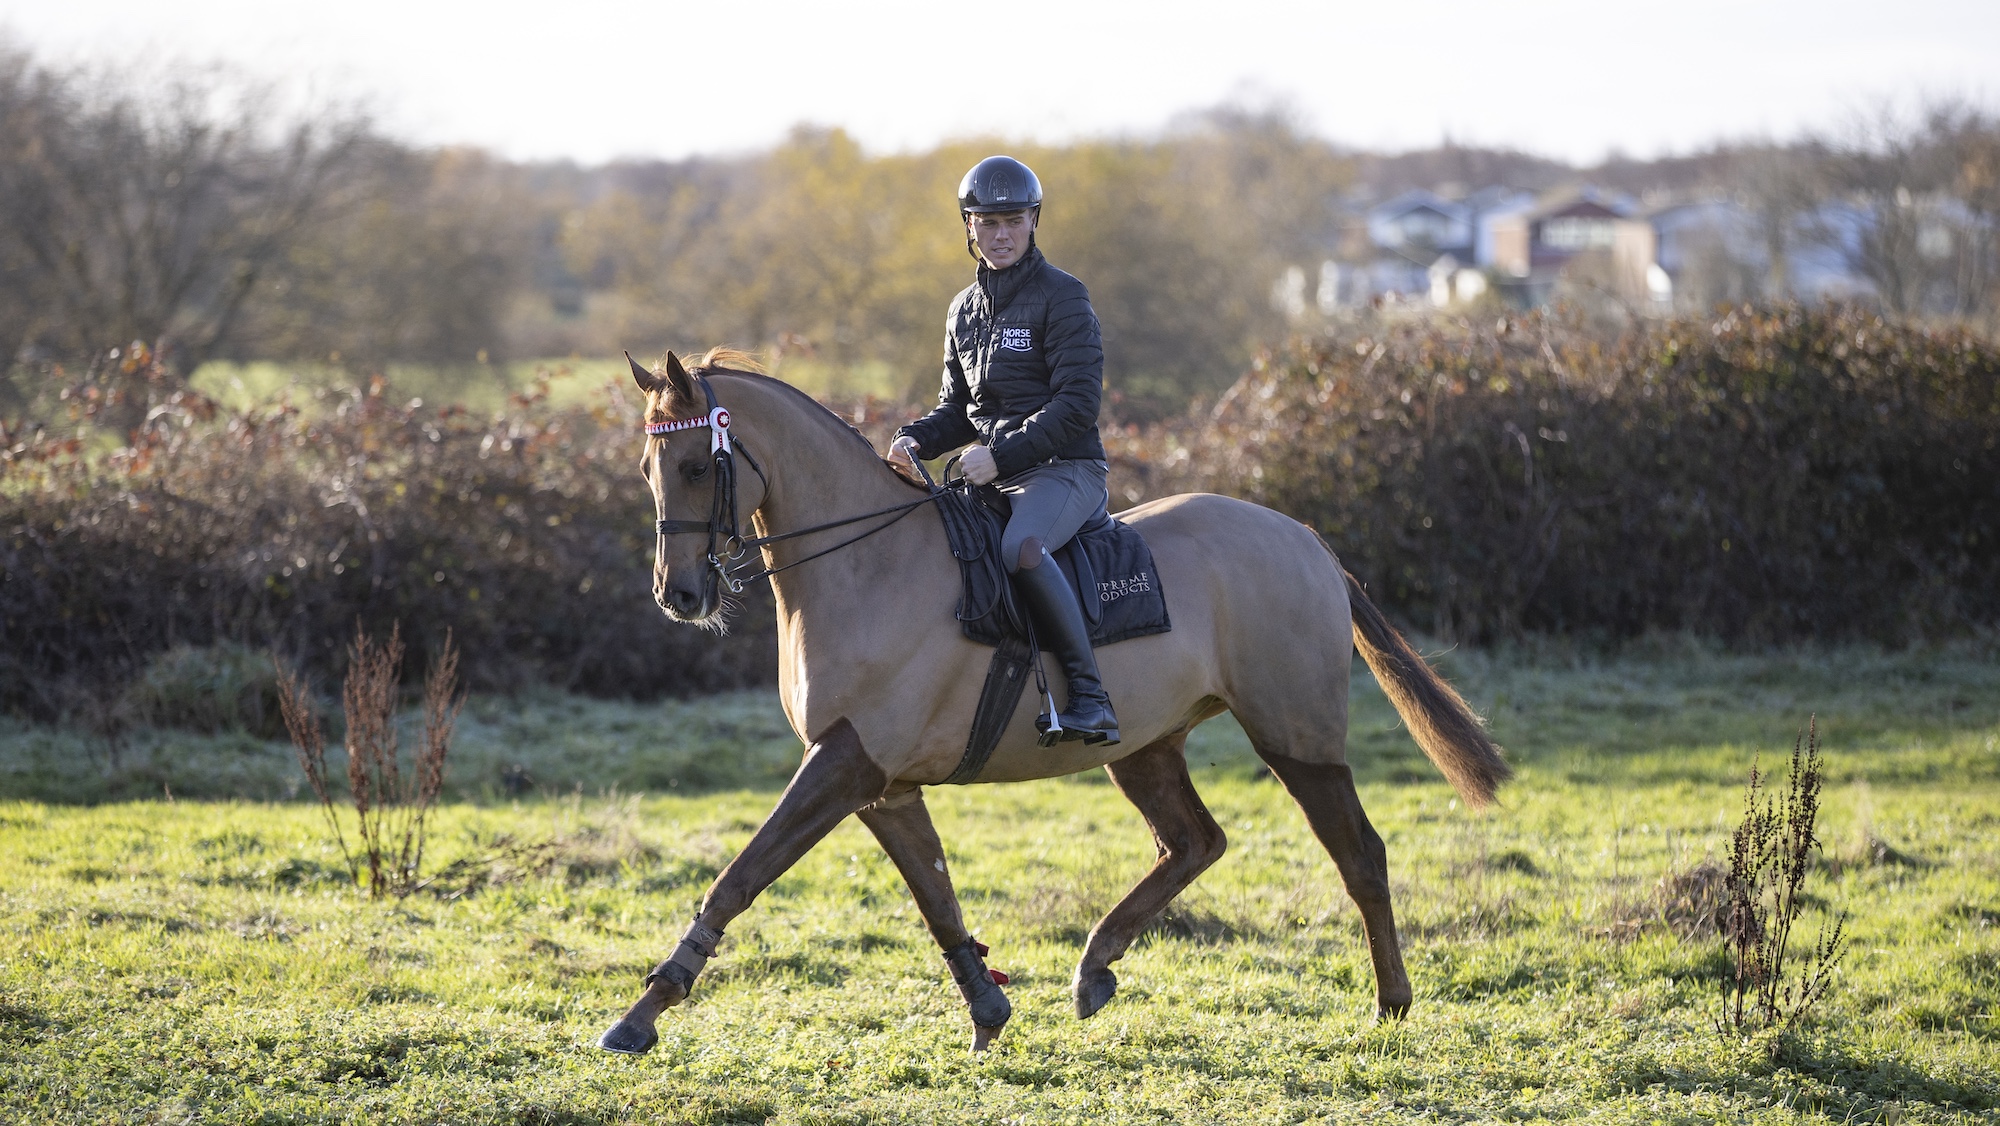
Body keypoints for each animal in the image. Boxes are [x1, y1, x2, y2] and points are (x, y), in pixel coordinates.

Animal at [598, 349, 1509, 1055]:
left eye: (694, 467)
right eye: (648, 471)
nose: (679, 595)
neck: (864, 564)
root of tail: (1305, 539)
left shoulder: (846, 762)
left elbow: (739, 878)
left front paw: (640, 1017)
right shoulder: (883, 785)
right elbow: (937, 900)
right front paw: (988, 1011)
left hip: (1297, 740)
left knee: (1359, 855)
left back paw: (1390, 1006)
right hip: (1145, 748)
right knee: (1194, 842)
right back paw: (1096, 966)